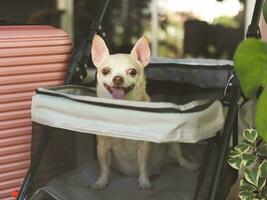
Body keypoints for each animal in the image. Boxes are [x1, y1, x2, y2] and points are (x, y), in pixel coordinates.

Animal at [90, 34, 197, 191]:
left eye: (132, 72)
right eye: (105, 71)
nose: (118, 78)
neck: (122, 109)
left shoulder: (144, 147)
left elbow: (143, 166)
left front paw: (144, 182)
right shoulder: (102, 147)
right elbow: (104, 168)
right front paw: (101, 182)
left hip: (173, 142)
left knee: (180, 159)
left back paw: (189, 166)